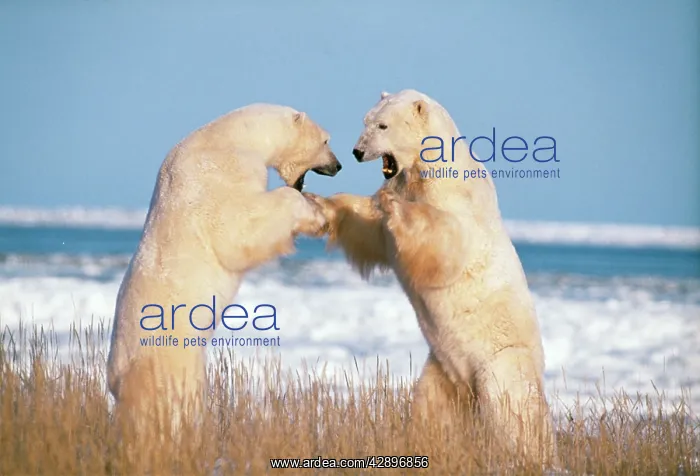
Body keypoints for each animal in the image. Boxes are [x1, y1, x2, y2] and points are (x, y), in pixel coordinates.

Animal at [106, 103, 341, 442]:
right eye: (326, 141)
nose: (337, 165)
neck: (233, 135)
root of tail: (117, 381)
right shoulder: (223, 172)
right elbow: (239, 227)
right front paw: (316, 214)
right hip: (170, 360)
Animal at [304, 90, 557, 466]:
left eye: (382, 125)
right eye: (366, 121)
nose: (357, 151)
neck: (427, 170)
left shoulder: (459, 202)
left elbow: (443, 238)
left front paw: (396, 207)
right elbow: (370, 227)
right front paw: (318, 201)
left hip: (502, 361)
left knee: (513, 410)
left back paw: (531, 454)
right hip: (441, 369)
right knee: (431, 411)